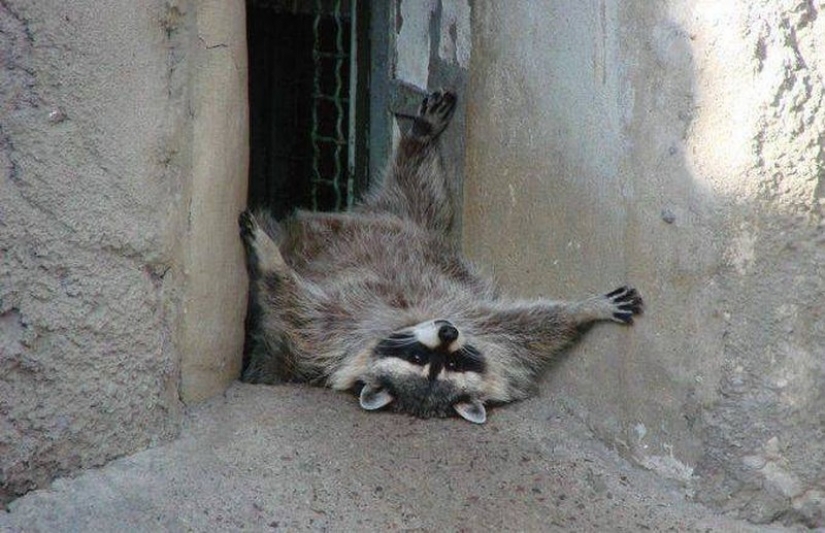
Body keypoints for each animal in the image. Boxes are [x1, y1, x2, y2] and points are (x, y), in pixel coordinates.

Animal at [239, 90, 643, 424]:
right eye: (419, 358)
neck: (413, 316)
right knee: (415, 183)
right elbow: (291, 300)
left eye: (453, 362)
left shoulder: (484, 330)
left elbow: (533, 324)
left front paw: (584, 309)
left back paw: (420, 137)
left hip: (407, 216)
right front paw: (272, 260)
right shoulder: (333, 329)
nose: (448, 331)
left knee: (416, 184)